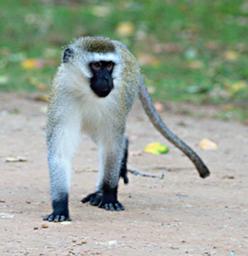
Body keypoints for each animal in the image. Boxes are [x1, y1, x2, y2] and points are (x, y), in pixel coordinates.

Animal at [44, 36, 209, 222]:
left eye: (109, 66)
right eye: (97, 66)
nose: (107, 80)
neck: (86, 92)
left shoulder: (116, 102)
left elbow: (111, 149)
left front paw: (109, 196)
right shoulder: (62, 98)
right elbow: (60, 153)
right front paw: (60, 207)